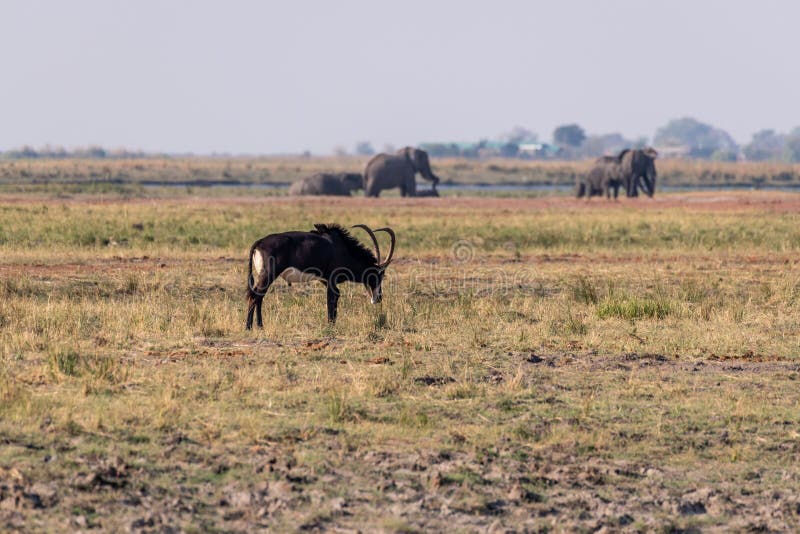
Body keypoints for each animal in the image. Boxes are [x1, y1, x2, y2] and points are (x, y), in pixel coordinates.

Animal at [244, 223, 394, 330]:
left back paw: (260, 326)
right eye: (378, 275)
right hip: (268, 275)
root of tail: (259, 242)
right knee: (255, 296)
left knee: (259, 297)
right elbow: (332, 298)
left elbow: (335, 297)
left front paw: (332, 323)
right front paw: (330, 325)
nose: (378, 298)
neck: (342, 248)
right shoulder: (332, 279)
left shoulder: (325, 280)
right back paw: (249, 327)